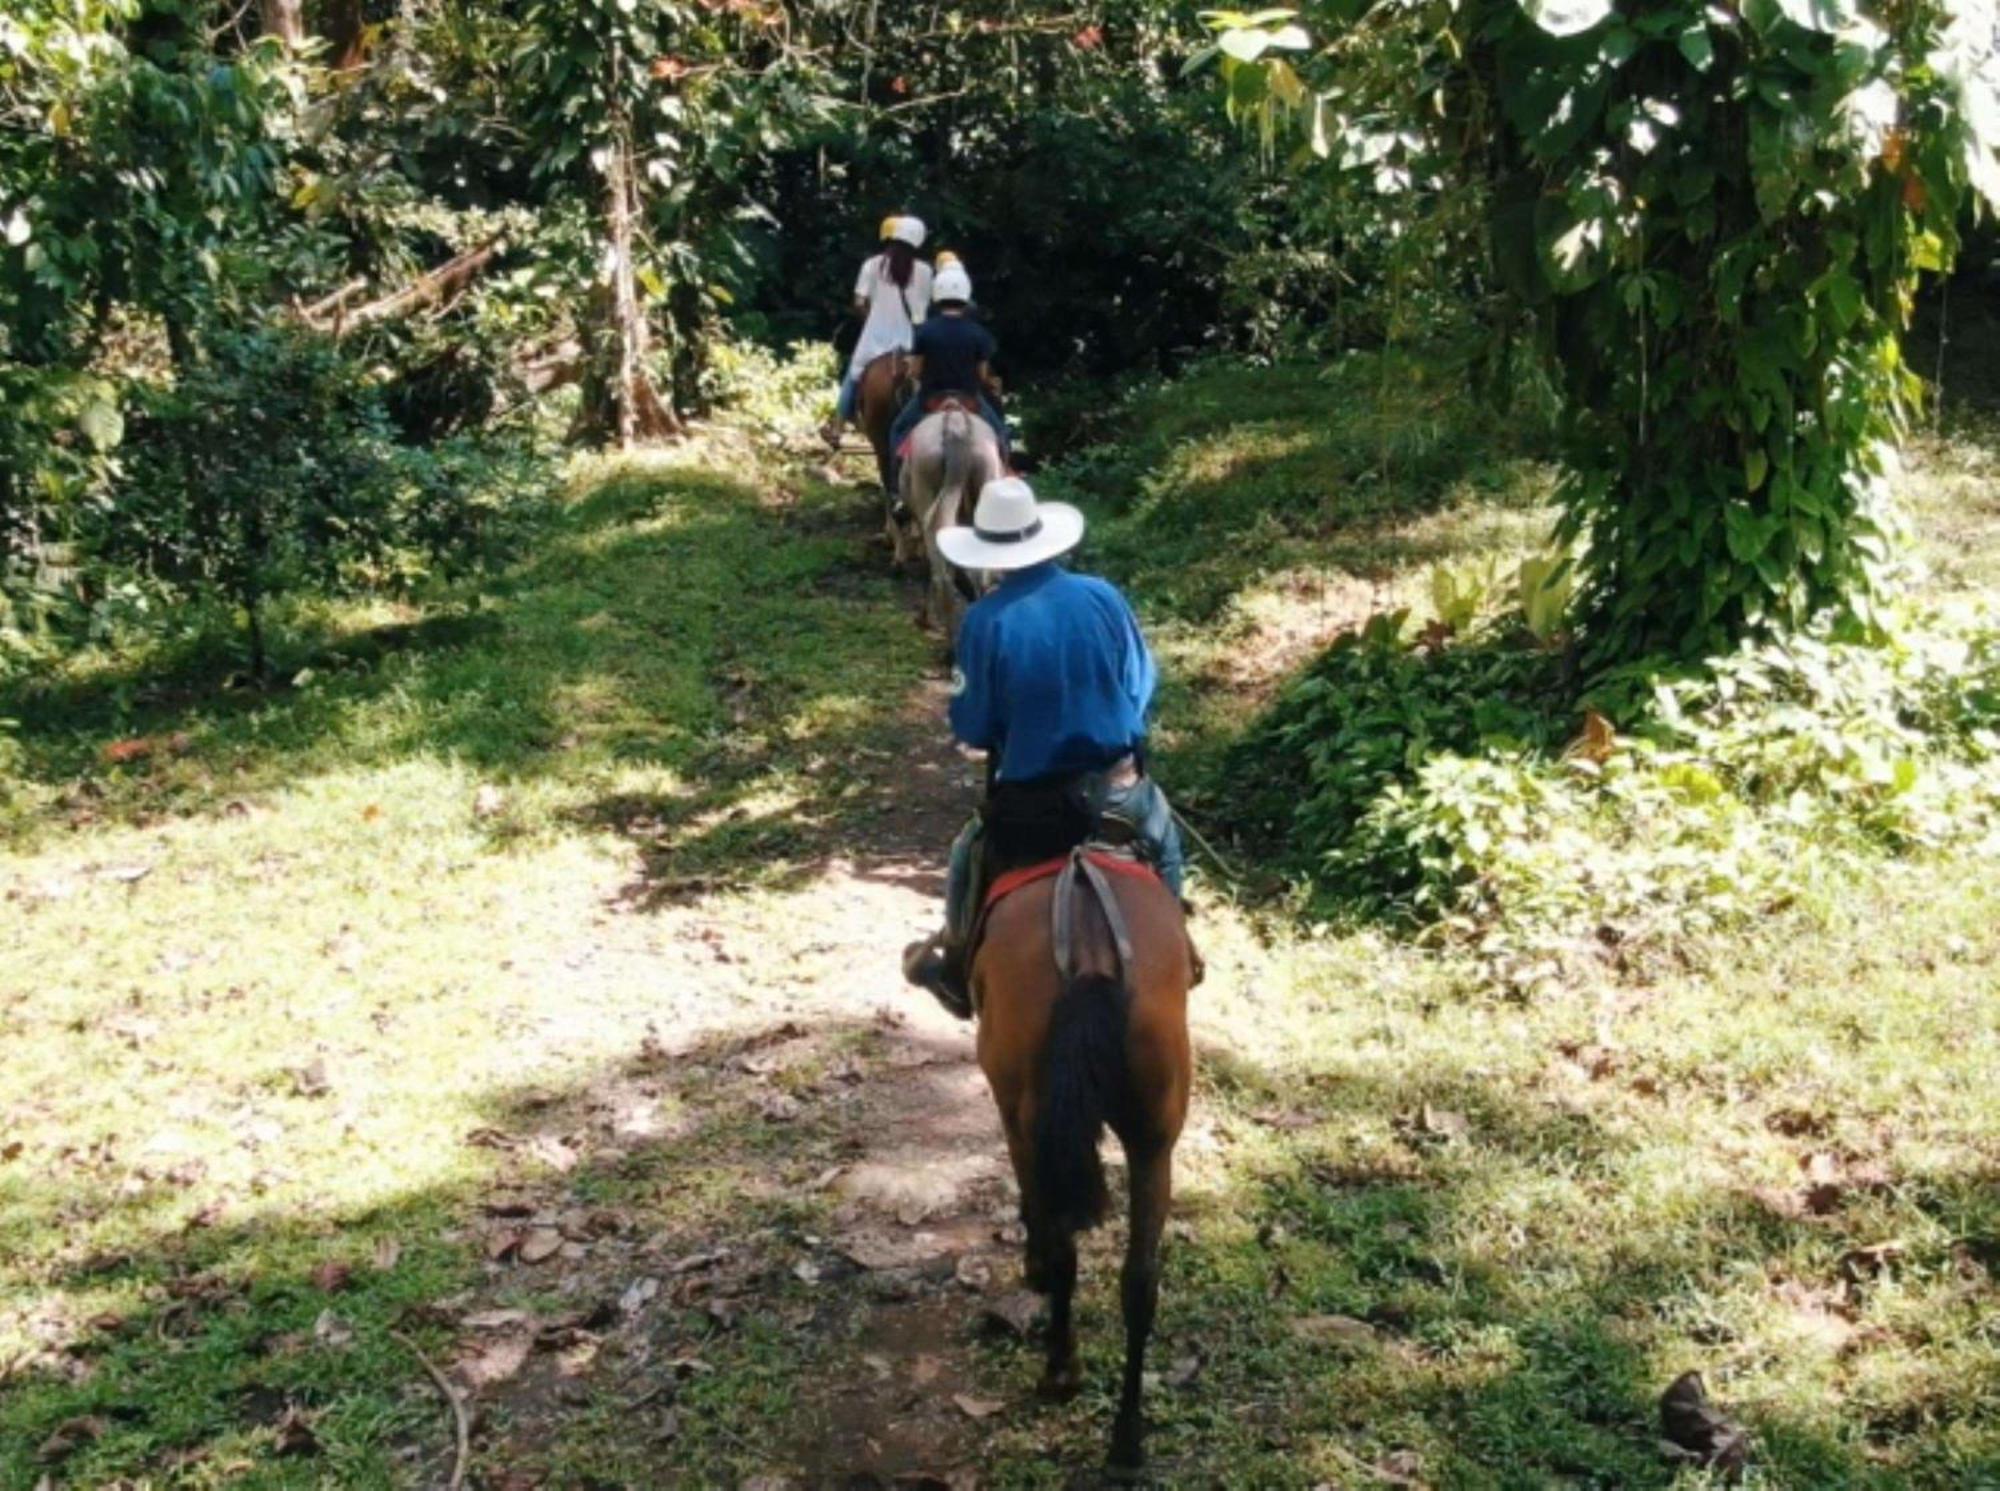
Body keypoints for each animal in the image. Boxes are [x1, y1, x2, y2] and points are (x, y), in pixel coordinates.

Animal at [900, 403, 1008, 643]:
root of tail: (955, 428)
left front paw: (924, 618)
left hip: (926, 488)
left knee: (941, 573)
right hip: (986, 473)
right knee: (980, 570)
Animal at [968, 843, 1184, 1471]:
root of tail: (1089, 953)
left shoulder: (1012, 1113)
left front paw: (1033, 1262)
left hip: (1028, 1110)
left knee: (1066, 1246)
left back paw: (1060, 1369)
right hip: (1155, 1140)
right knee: (1140, 1281)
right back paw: (1127, 1441)